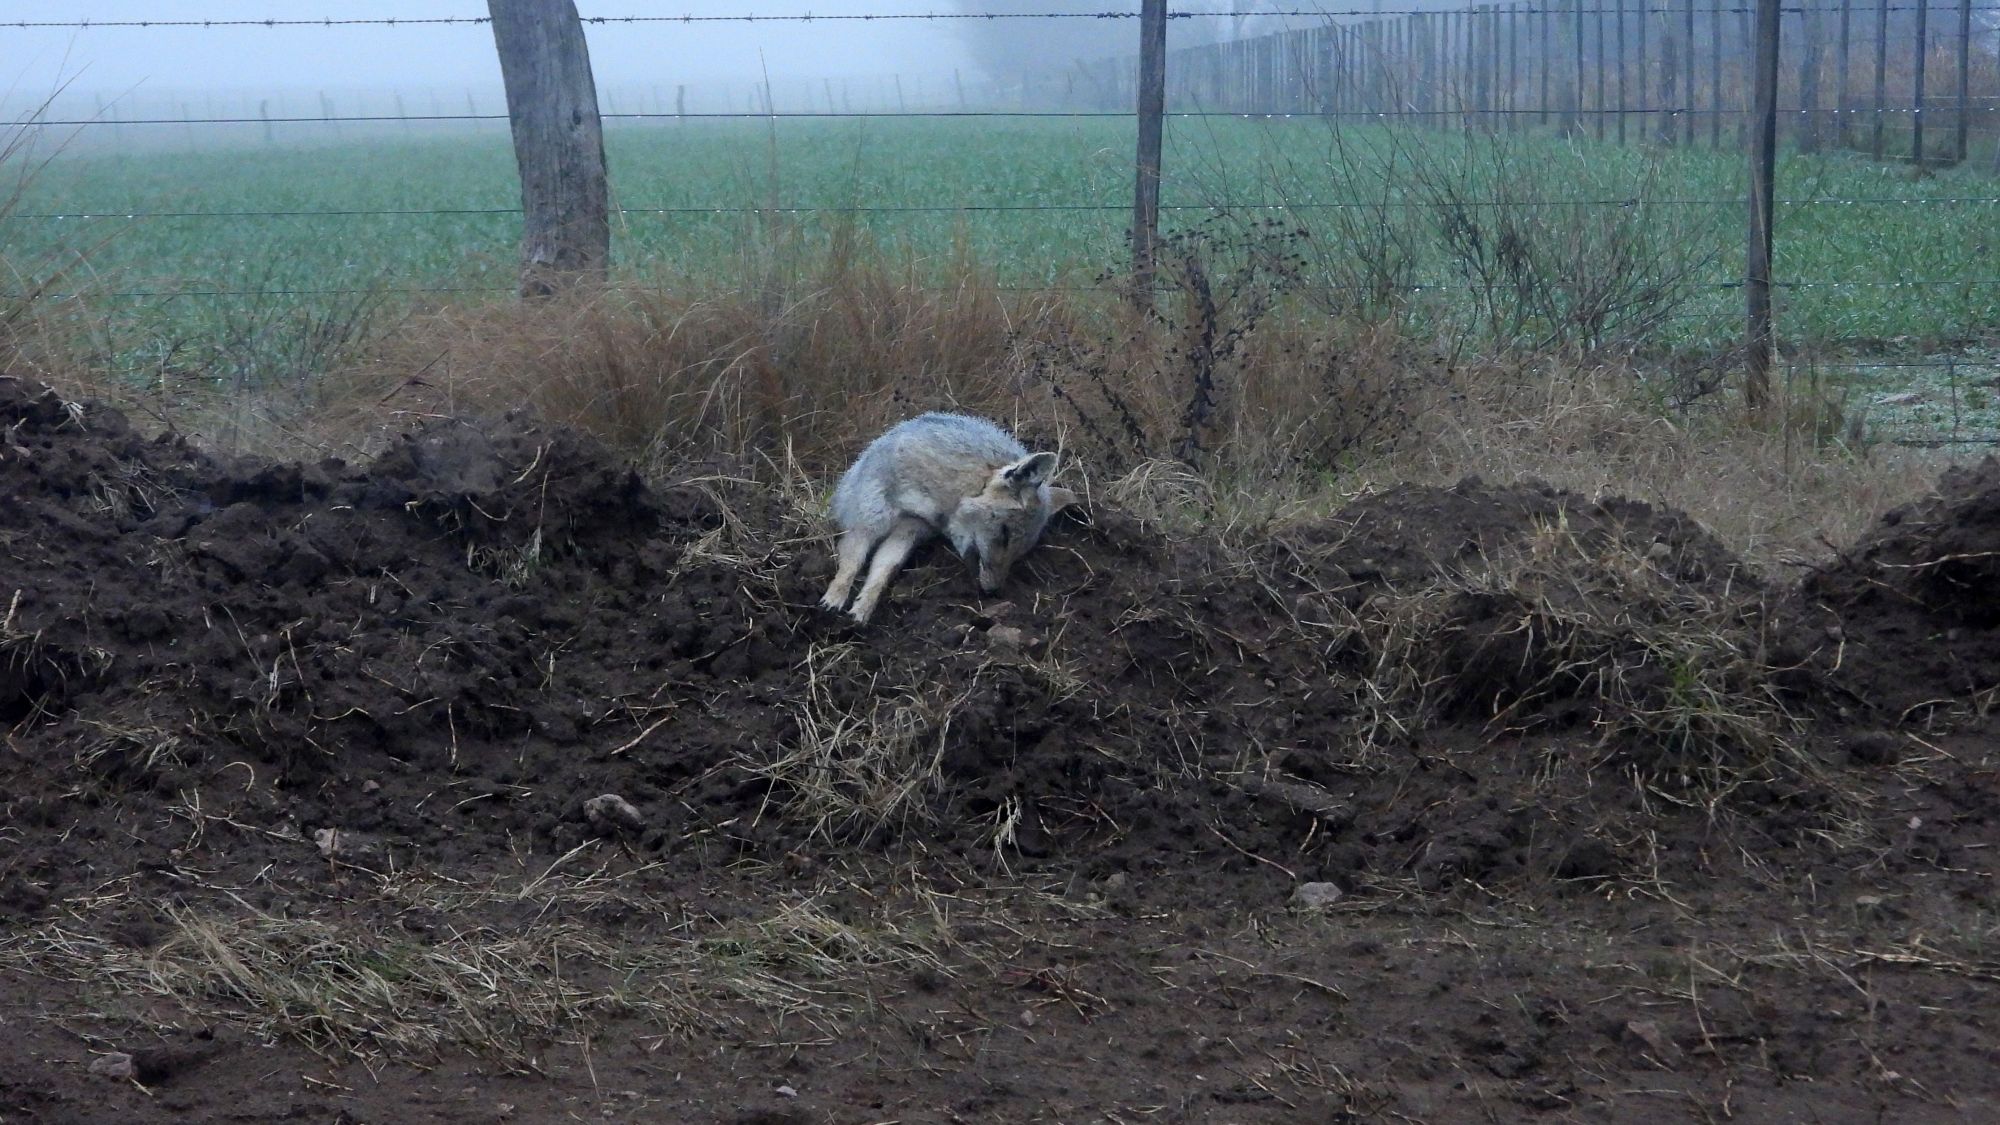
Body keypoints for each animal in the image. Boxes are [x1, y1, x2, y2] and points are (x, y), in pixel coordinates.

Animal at [819, 412, 1077, 623]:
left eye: (1019, 554)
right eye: (1004, 534)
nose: (993, 592)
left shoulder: (908, 532)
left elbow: (882, 572)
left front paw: (862, 609)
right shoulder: (866, 524)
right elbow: (852, 563)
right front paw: (834, 598)